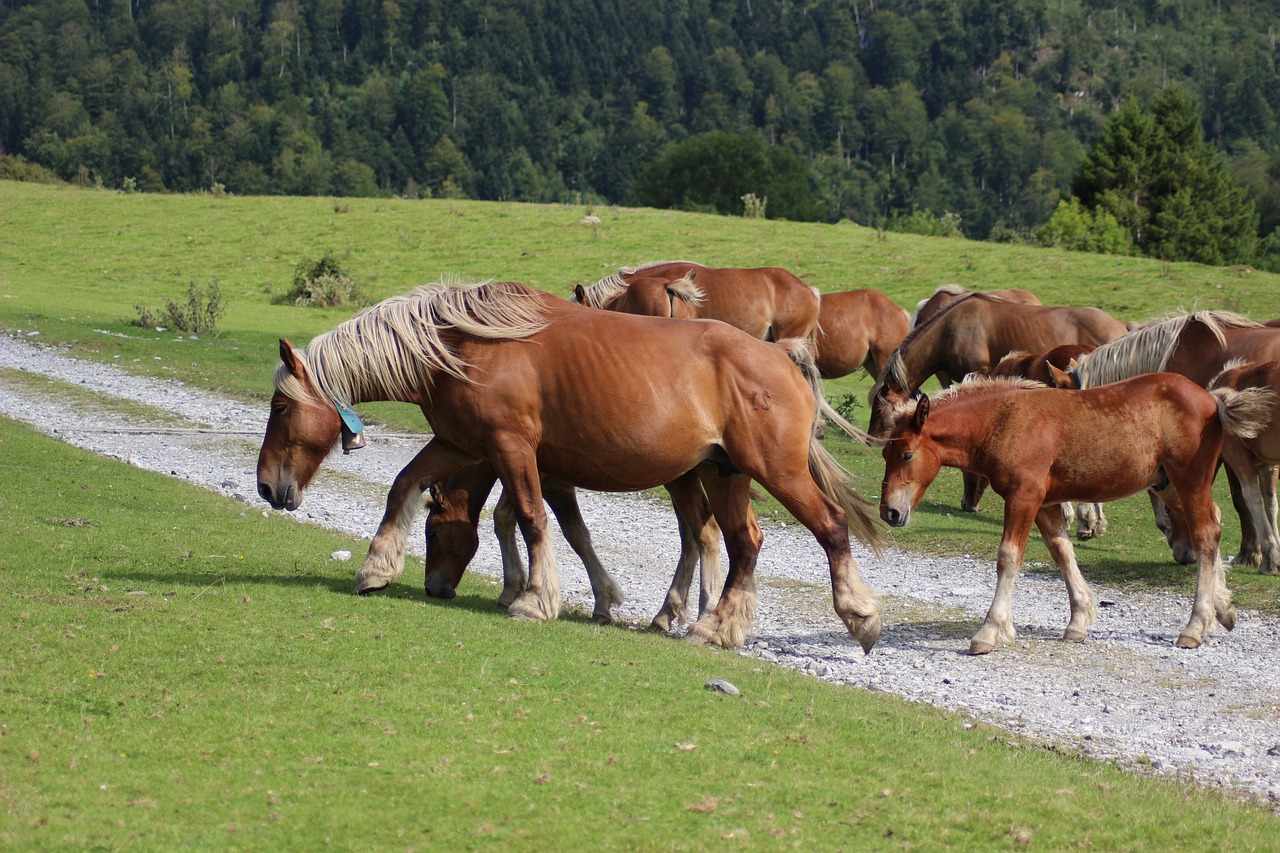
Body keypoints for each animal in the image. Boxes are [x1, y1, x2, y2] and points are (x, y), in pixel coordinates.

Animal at [419, 458, 721, 630]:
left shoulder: (554, 483)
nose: (431, 587)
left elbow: (572, 532)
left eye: (432, 533)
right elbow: (505, 519)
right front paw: (513, 589)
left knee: (696, 533)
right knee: (690, 536)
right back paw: (666, 614)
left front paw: (603, 601)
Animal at [875, 371, 1264, 650]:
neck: (1004, 420)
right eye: (884, 454)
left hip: (1189, 481)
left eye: (907, 454)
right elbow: (1062, 552)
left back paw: (1195, 627)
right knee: (1214, 523)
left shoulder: (1024, 497)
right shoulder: (1044, 503)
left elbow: (1008, 557)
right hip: (1166, 485)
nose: (889, 513)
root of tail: (1211, 399)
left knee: (1204, 534)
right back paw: (1223, 608)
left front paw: (989, 630)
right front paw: (1077, 621)